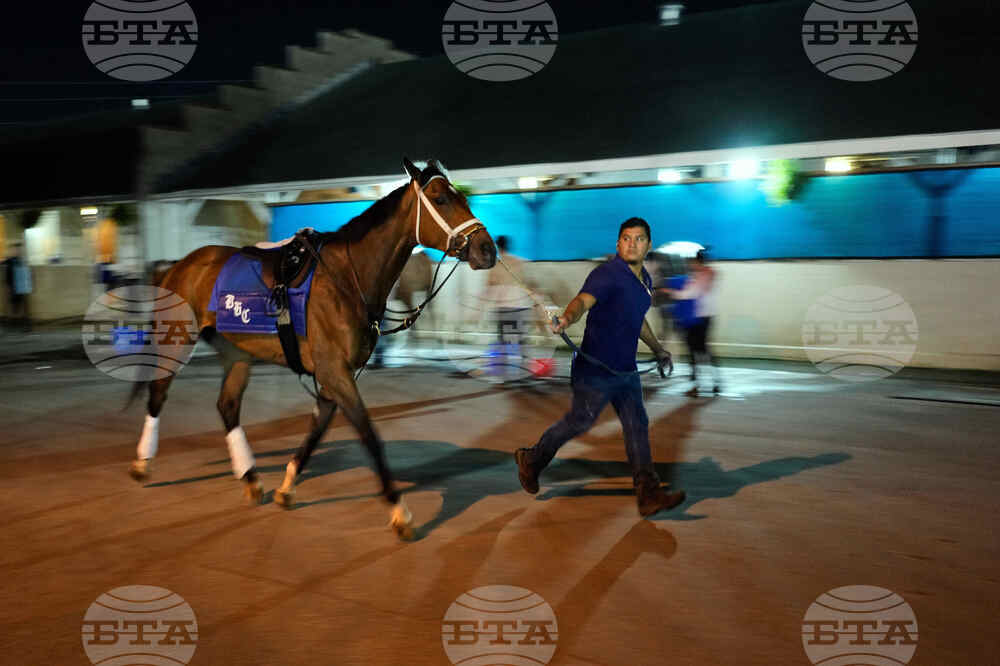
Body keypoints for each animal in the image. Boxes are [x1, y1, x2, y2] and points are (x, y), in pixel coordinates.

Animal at [127, 158, 496, 540]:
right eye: (440, 199)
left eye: (461, 197)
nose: (488, 249)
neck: (347, 279)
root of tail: (179, 265)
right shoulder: (335, 372)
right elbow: (369, 435)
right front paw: (400, 511)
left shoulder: (334, 376)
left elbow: (318, 429)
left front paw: (287, 486)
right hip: (176, 341)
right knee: (158, 393)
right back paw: (143, 461)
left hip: (237, 353)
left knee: (227, 405)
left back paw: (250, 476)